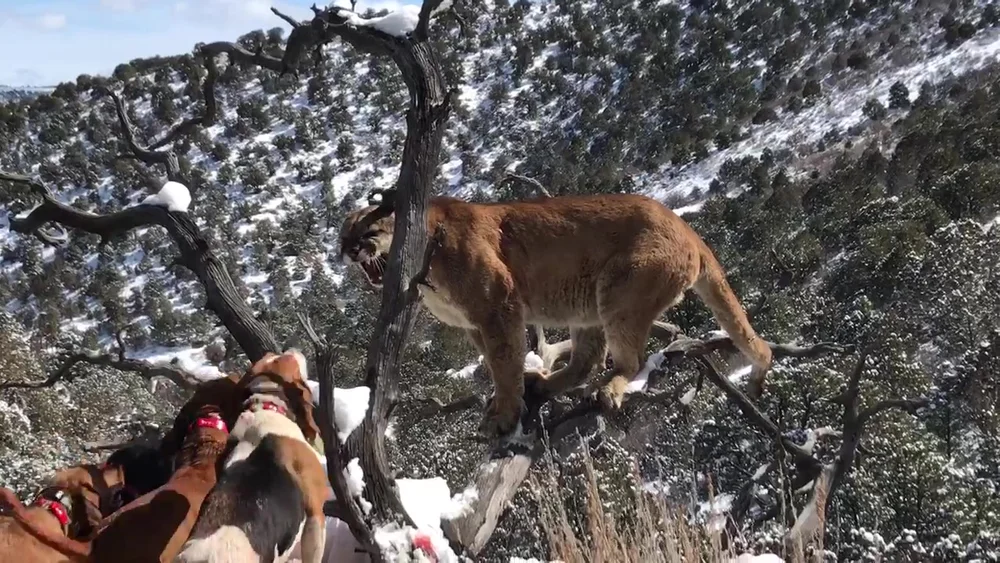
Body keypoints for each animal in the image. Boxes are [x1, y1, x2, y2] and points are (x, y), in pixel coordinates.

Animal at [338, 191, 772, 437]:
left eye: (368, 232)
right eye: (343, 236)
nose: (349, 251)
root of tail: (687, 228)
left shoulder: (498, 304)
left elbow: (504, 362)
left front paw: (504, 415)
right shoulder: (475, 323)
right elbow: (496, 362)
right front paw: (505, 400)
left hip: (620, 293)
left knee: (630, 359)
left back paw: (608, 389)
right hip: (587, 307)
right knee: (586, 360)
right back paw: (544, 385)